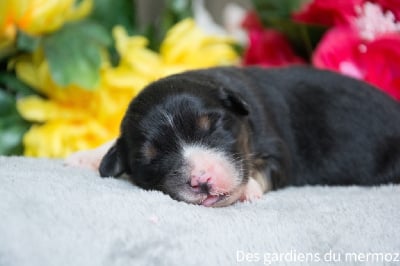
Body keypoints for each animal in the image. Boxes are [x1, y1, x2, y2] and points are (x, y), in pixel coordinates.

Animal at [67, 65, 400, 207]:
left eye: (213, 126)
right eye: (151, 159)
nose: (201, 180)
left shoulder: (279, 148)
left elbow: (264, 168)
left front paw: (248, 188)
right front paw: (85, 156)